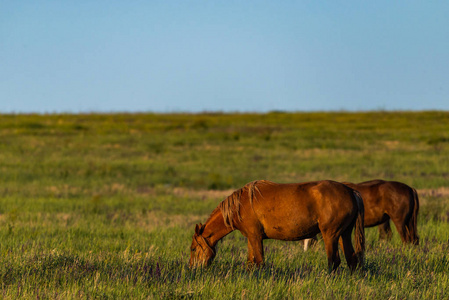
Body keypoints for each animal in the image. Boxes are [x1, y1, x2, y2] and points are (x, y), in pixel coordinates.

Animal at [189, 179, 364, 274]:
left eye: (193, 249)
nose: (192, 268)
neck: (240, 205)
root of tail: (351, 191)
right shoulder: (251, 238)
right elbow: (250, 263)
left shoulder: (256, 237)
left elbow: (260, 262)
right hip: (343, 235)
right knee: (352, 260)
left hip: (330, 235)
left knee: (333, 261)